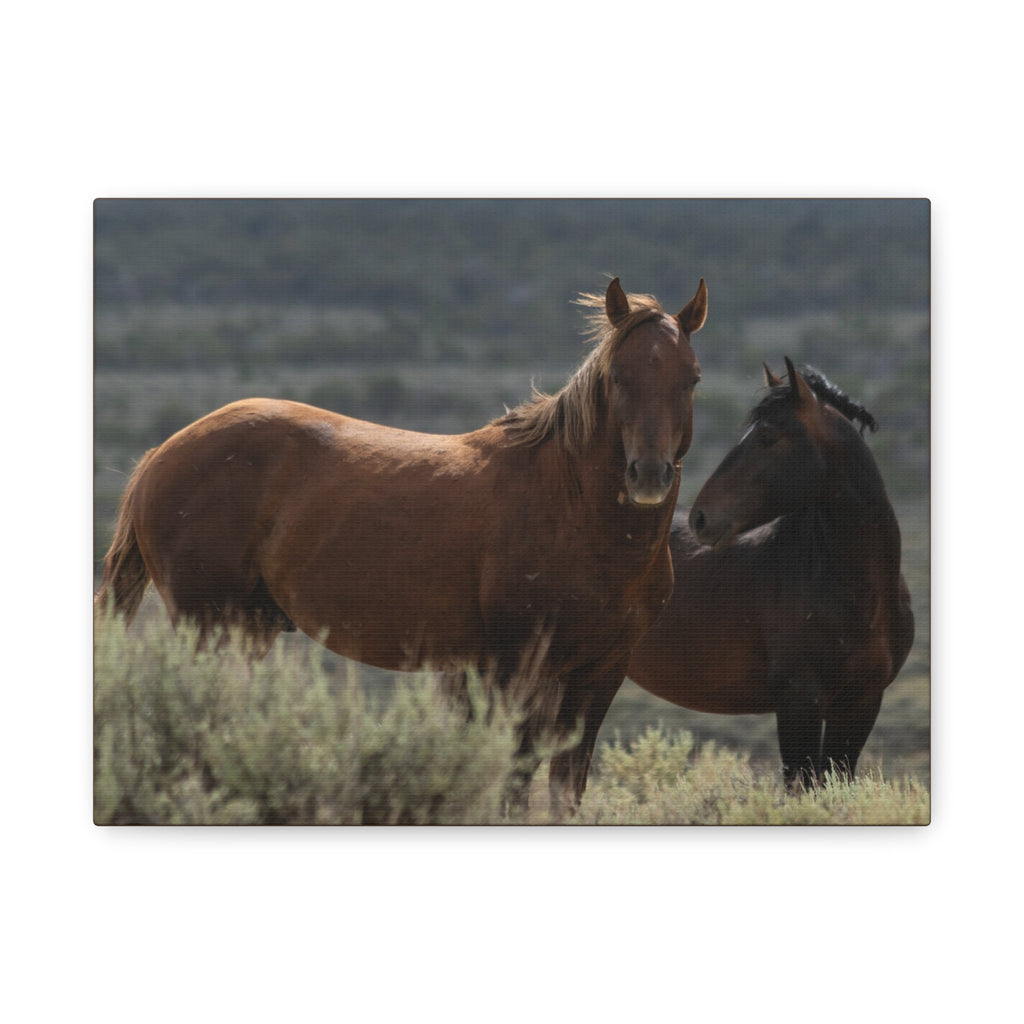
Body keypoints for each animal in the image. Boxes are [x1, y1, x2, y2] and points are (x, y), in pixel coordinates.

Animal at [96, 276, 708, 814]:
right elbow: (512, 780)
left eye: (692, 379)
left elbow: (564, 789)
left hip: (248, 630)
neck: (575, 510)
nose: (648, 474)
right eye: (619, 377)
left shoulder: (599, 672)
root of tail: (159, 455)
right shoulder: (517, 667)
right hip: (209, 627)